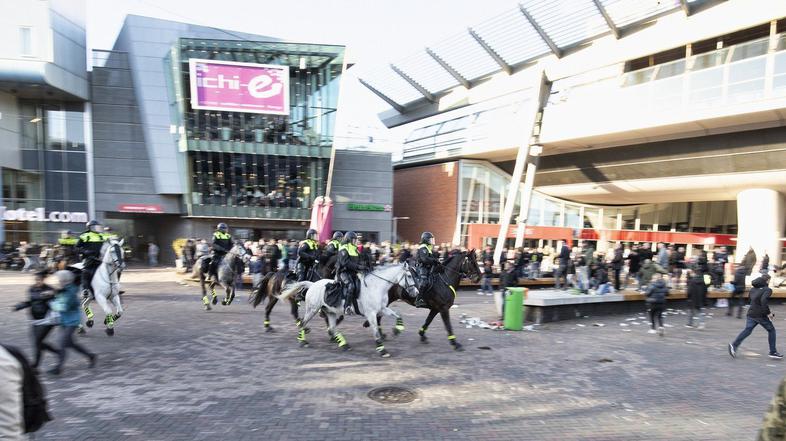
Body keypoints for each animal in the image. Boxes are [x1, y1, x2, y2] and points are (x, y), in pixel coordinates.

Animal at [280, 262, 416, 356]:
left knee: (332, 328)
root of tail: (313, 284)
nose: (416, 292)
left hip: (330, 312)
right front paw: (382, 350)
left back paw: (344, 345)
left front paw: (398, 329)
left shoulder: (382, 309)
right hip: (312, 310)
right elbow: (376, 331)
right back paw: (303, 341)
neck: (376, 287)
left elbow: (398, 315)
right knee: (303, 322)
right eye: (409, 276)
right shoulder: (371, 314)